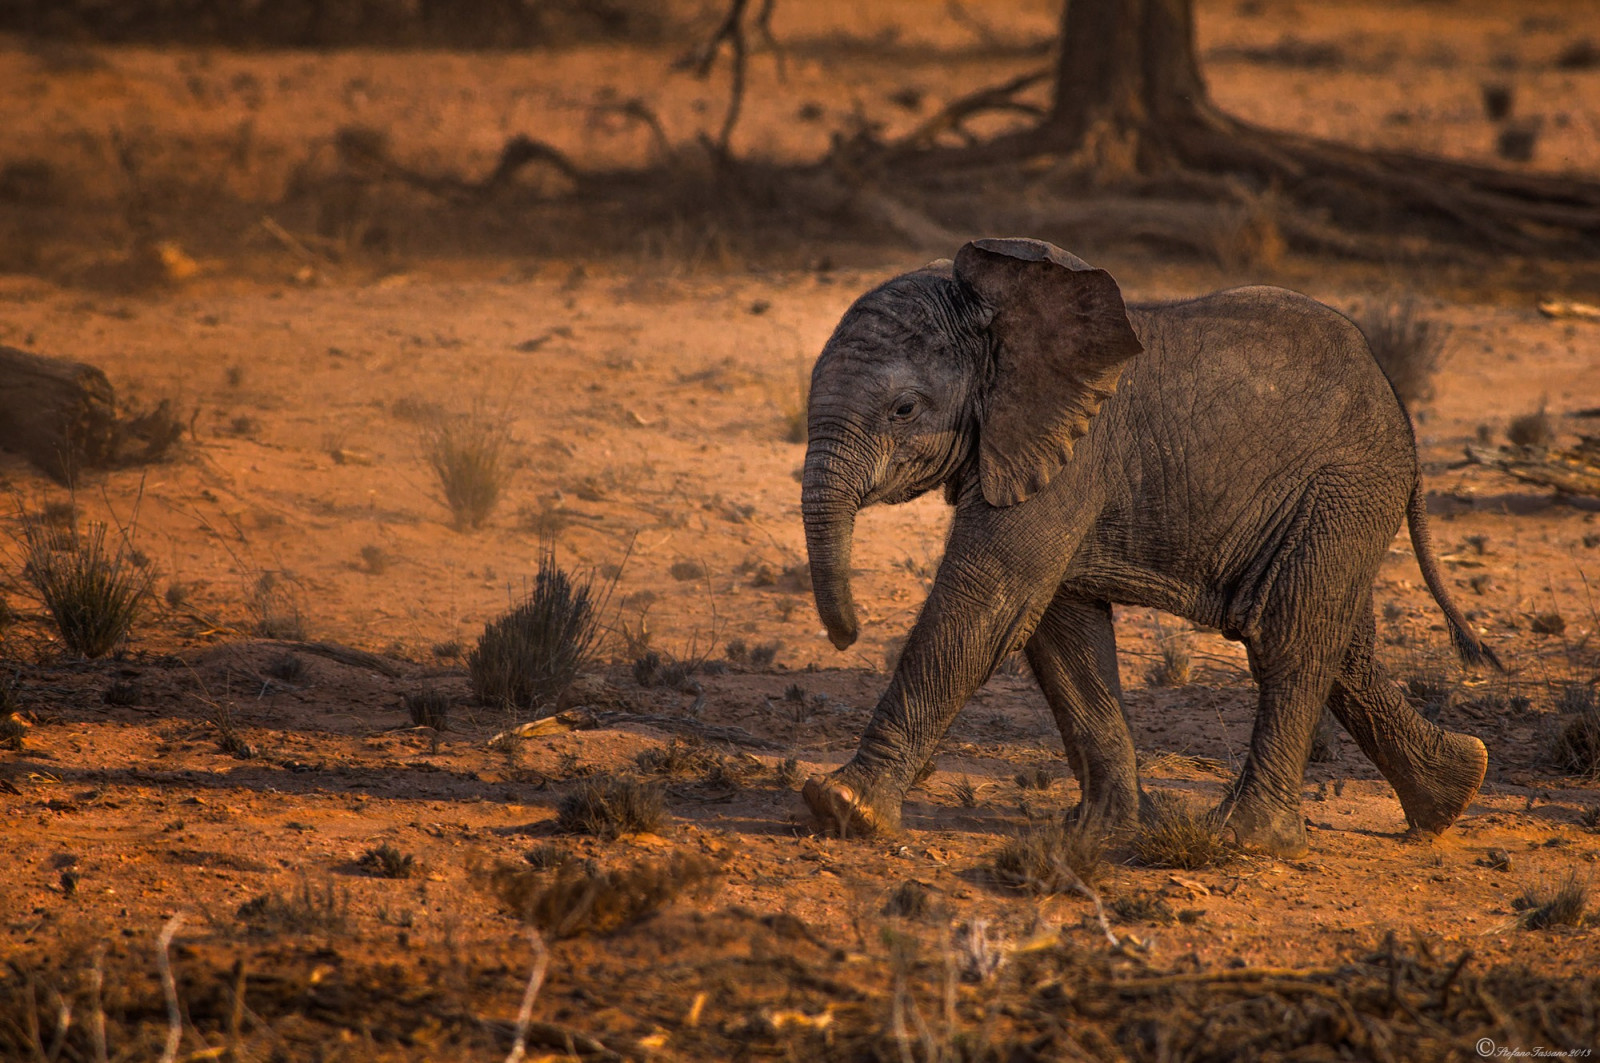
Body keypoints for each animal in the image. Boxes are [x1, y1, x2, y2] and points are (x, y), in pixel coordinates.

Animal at [798, 237, 1497, 856]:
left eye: (904, 410)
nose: (849, 634)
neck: (998, 310)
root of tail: (1401, 413)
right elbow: (1062, 632)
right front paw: (1104, 833)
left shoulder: (1076, 454)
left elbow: (985, 605)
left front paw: (843, 808)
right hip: (1338, 504)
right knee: (1343, 643)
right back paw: (1455, 791)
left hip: (1343, 488)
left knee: (1288, 634)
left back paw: (1246, 839)